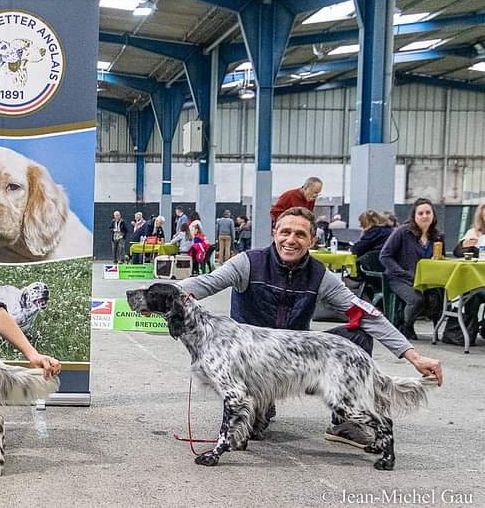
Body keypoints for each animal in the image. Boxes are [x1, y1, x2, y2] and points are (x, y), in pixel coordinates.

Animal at [126, 284, 432, 470]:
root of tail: (363, 356)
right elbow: (237, 428)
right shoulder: (246, 397)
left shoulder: (234, 394)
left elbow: (224, 431)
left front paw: (213, 456)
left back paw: (387, 461)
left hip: (345, 400)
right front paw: (239, 444)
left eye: (151, 291)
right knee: (383, 421)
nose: (129, 291)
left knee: (385, 422)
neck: (203, 331)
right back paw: (376, 448)